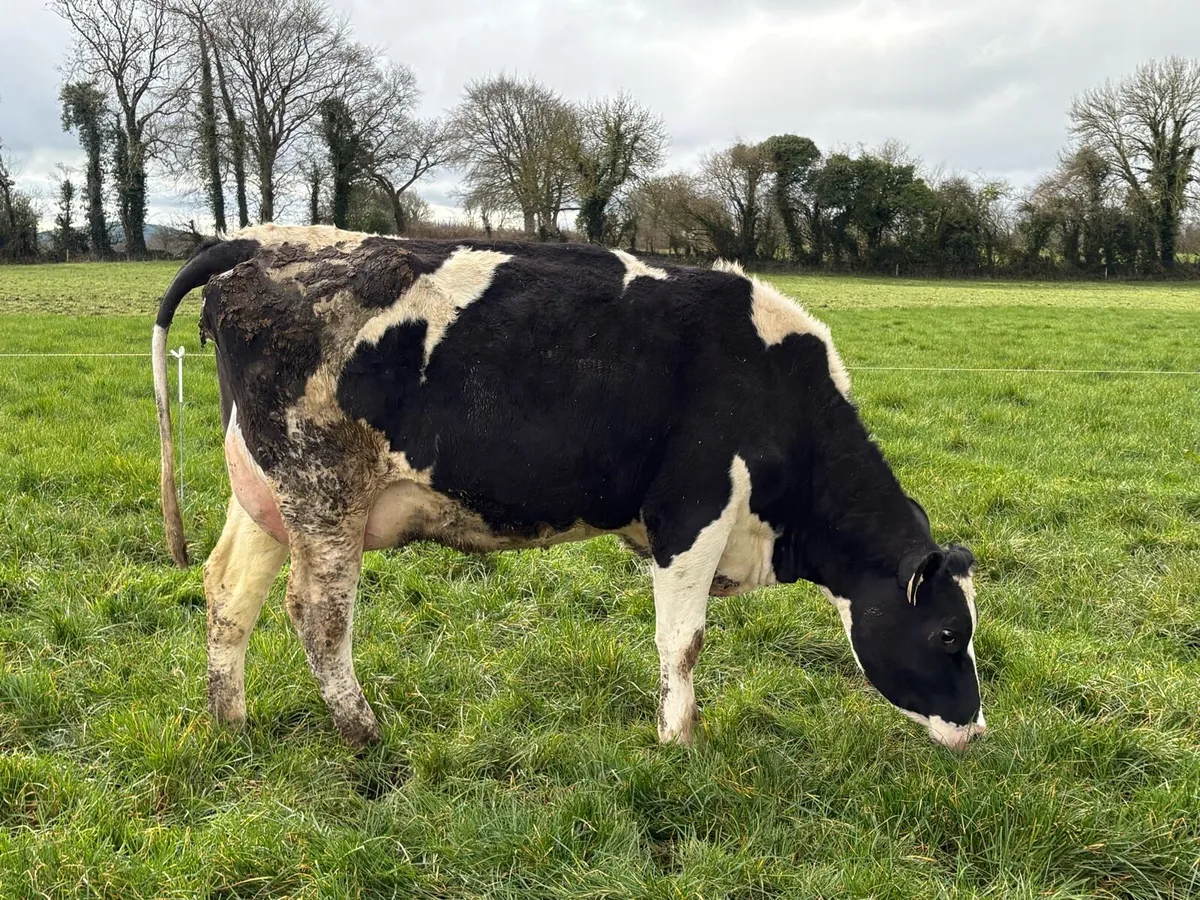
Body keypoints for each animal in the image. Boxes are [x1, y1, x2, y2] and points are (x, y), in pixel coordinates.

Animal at [152, 224, 985, 751]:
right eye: (949, 633)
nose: (977, 729)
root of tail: (256, 241)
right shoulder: (691, 510)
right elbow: (683, 641)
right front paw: (678, 742)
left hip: (267, 491)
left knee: (229, 591)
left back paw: (231, 722)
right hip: (324, 485)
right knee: (316, 614)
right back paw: (364, 733)